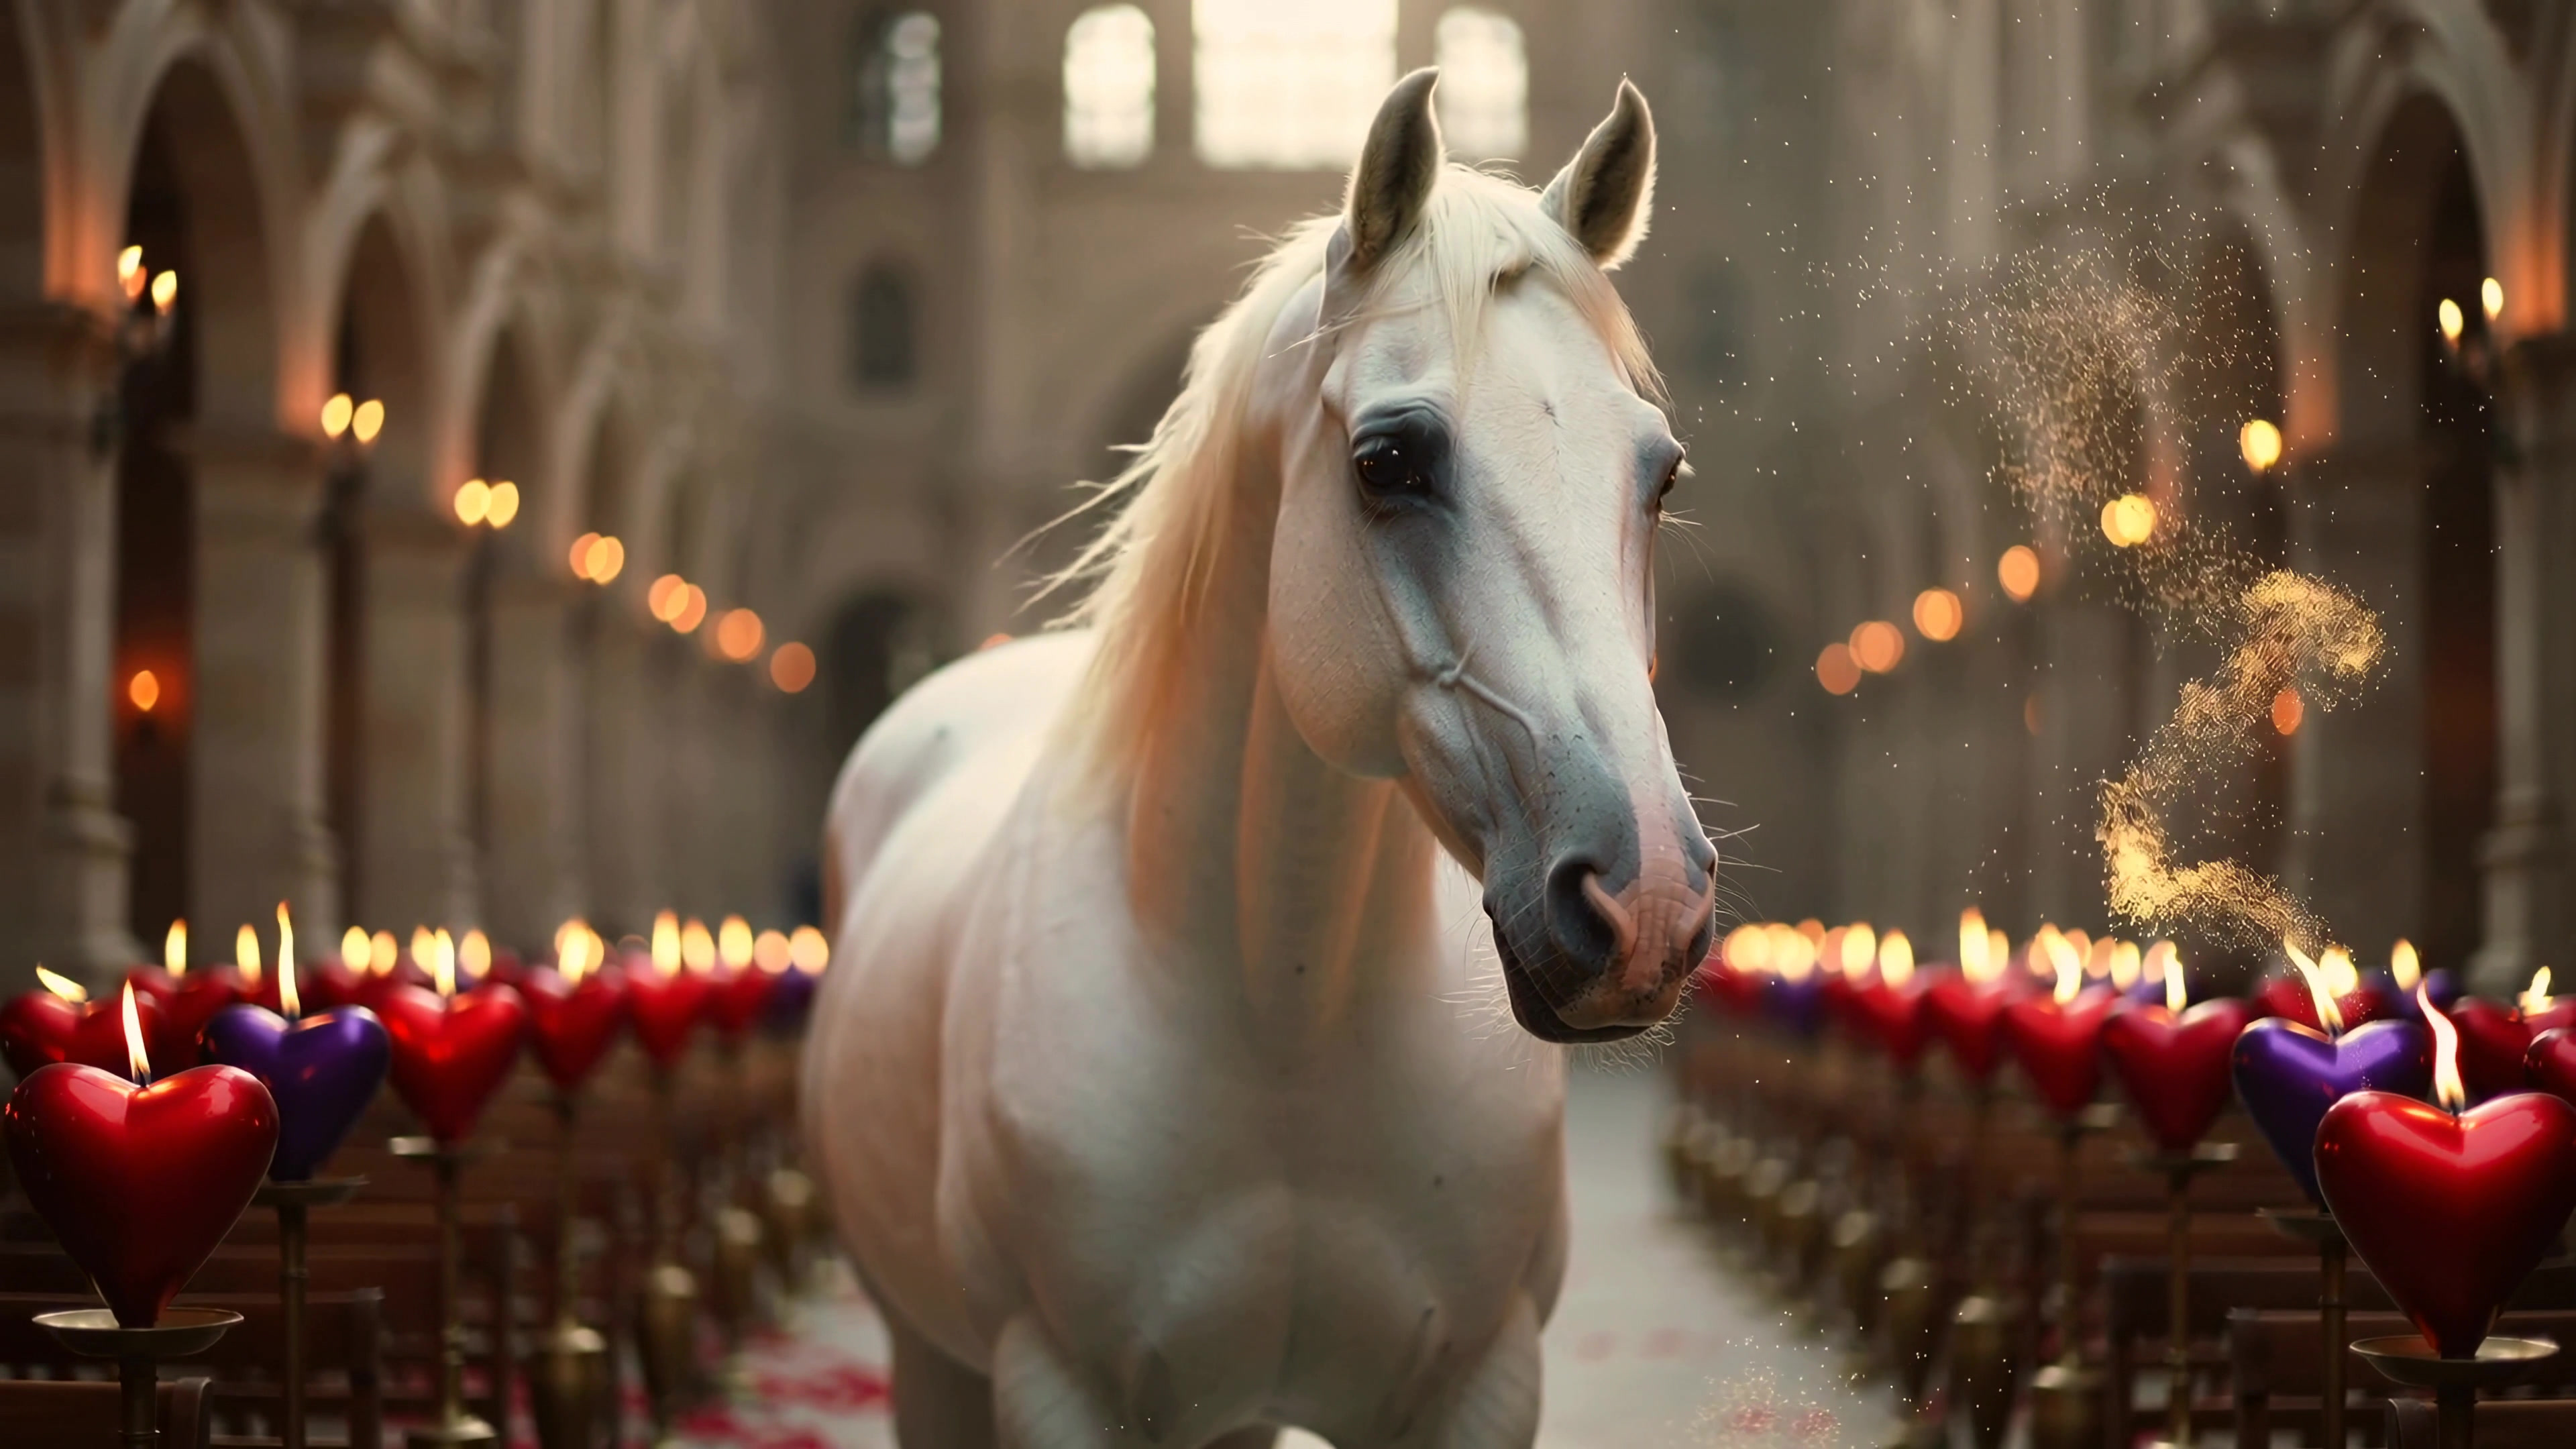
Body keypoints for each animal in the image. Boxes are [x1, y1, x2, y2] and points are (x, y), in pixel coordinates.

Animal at [804, 69, 1717, 1449]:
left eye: (1658, 475)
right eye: (1389, 459)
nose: (1646, 898)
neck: (1288, 1015)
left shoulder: (1480, 1382)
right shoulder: (1055, 1386)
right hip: (932, 1359)